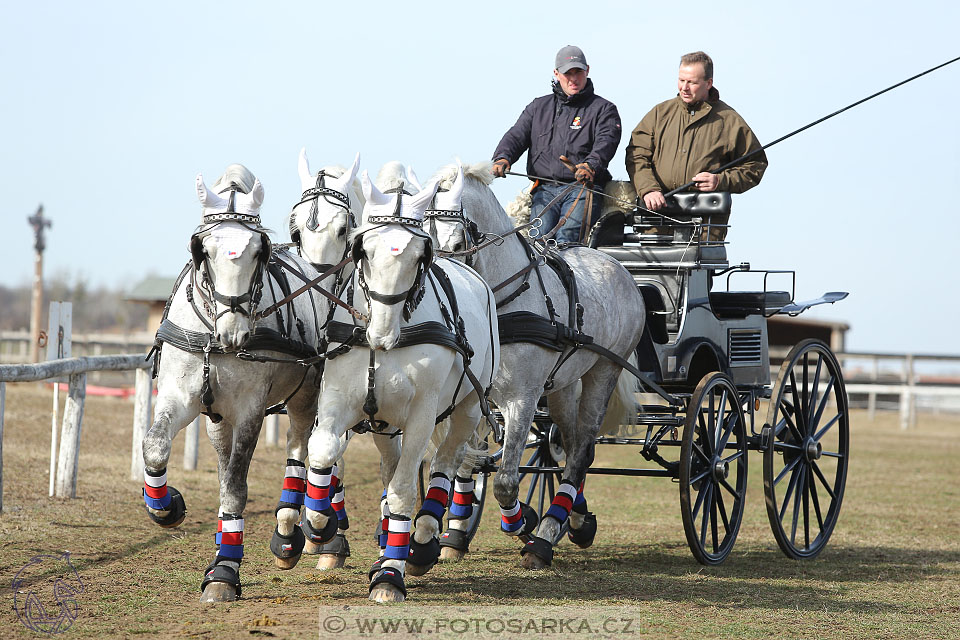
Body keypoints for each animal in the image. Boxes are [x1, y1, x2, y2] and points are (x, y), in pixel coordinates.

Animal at [142, 165, 328, 600]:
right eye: (203, 250)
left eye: (259, 250)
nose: (234, 333)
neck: (214, 337)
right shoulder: (179, 397)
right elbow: (155, 447)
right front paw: (167, 508)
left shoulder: (249, 410)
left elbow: (235, 486)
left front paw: (225, 572)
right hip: (217, 419)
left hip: (305, 395)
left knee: (298, 450)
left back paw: (289, 533)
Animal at [306, 168, 502, 604]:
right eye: (365, 249)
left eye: (417, 257)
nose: (380, 333)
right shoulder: (337, 401)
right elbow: (323, 452)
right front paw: (317, 526)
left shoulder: (422, 416)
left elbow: (403, 491)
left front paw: (389, 576)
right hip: (383, 423)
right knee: (394, 465)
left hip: (466, 408)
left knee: (447, 464)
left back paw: (425, 540)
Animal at [424, 160, 640, 568]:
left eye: (458, 245)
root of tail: (616, 265)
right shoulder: (472, 397)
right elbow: (463, 465)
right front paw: (450, 536)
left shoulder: (521, 399)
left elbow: (506, 482)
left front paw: (525, 521)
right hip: (562, 385)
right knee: (569, 447)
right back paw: (576, 520)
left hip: (603, 372)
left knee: (582, 450)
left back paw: (545, 536)